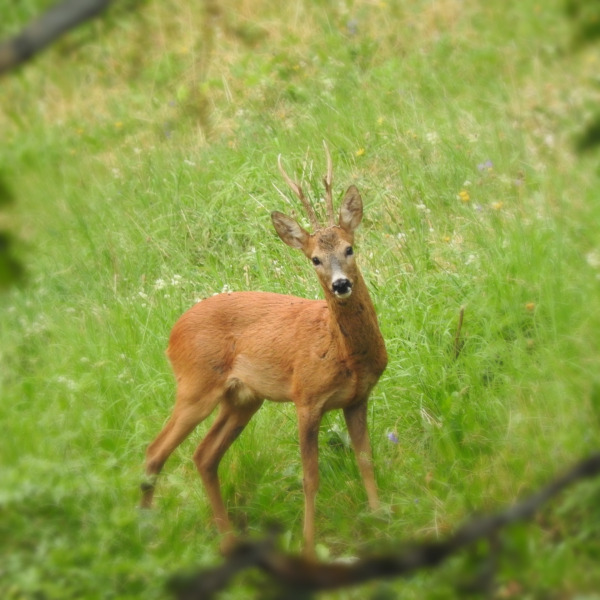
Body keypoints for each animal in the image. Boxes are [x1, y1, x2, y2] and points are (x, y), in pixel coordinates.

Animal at [143, 143, 392, 556]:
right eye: (314, 258)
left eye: (350, 248)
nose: (341, 284)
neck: (345, 353)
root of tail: (171, 335)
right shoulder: (306, 397)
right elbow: (310, 477)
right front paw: (308, 545)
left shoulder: (358, 397)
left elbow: (366, 459)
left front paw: (381, 517)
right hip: (195, 386)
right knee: (155, 451)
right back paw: (147, 535)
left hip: (243, 398)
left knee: (204, 456)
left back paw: (228, 539)